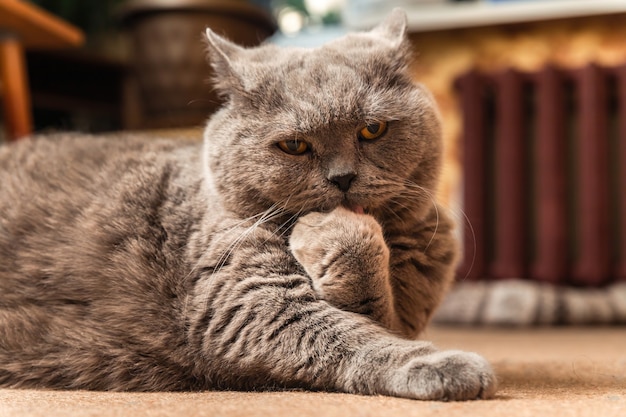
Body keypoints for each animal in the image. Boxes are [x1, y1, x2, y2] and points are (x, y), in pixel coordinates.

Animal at [0, 10, 494, 400]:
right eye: (294, 145)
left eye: (372, 130)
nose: (342, 178)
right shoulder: (243, 296)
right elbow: (349, 334)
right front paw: (446, 366)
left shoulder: (403, 312)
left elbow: (373, 314)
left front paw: (328, 231)